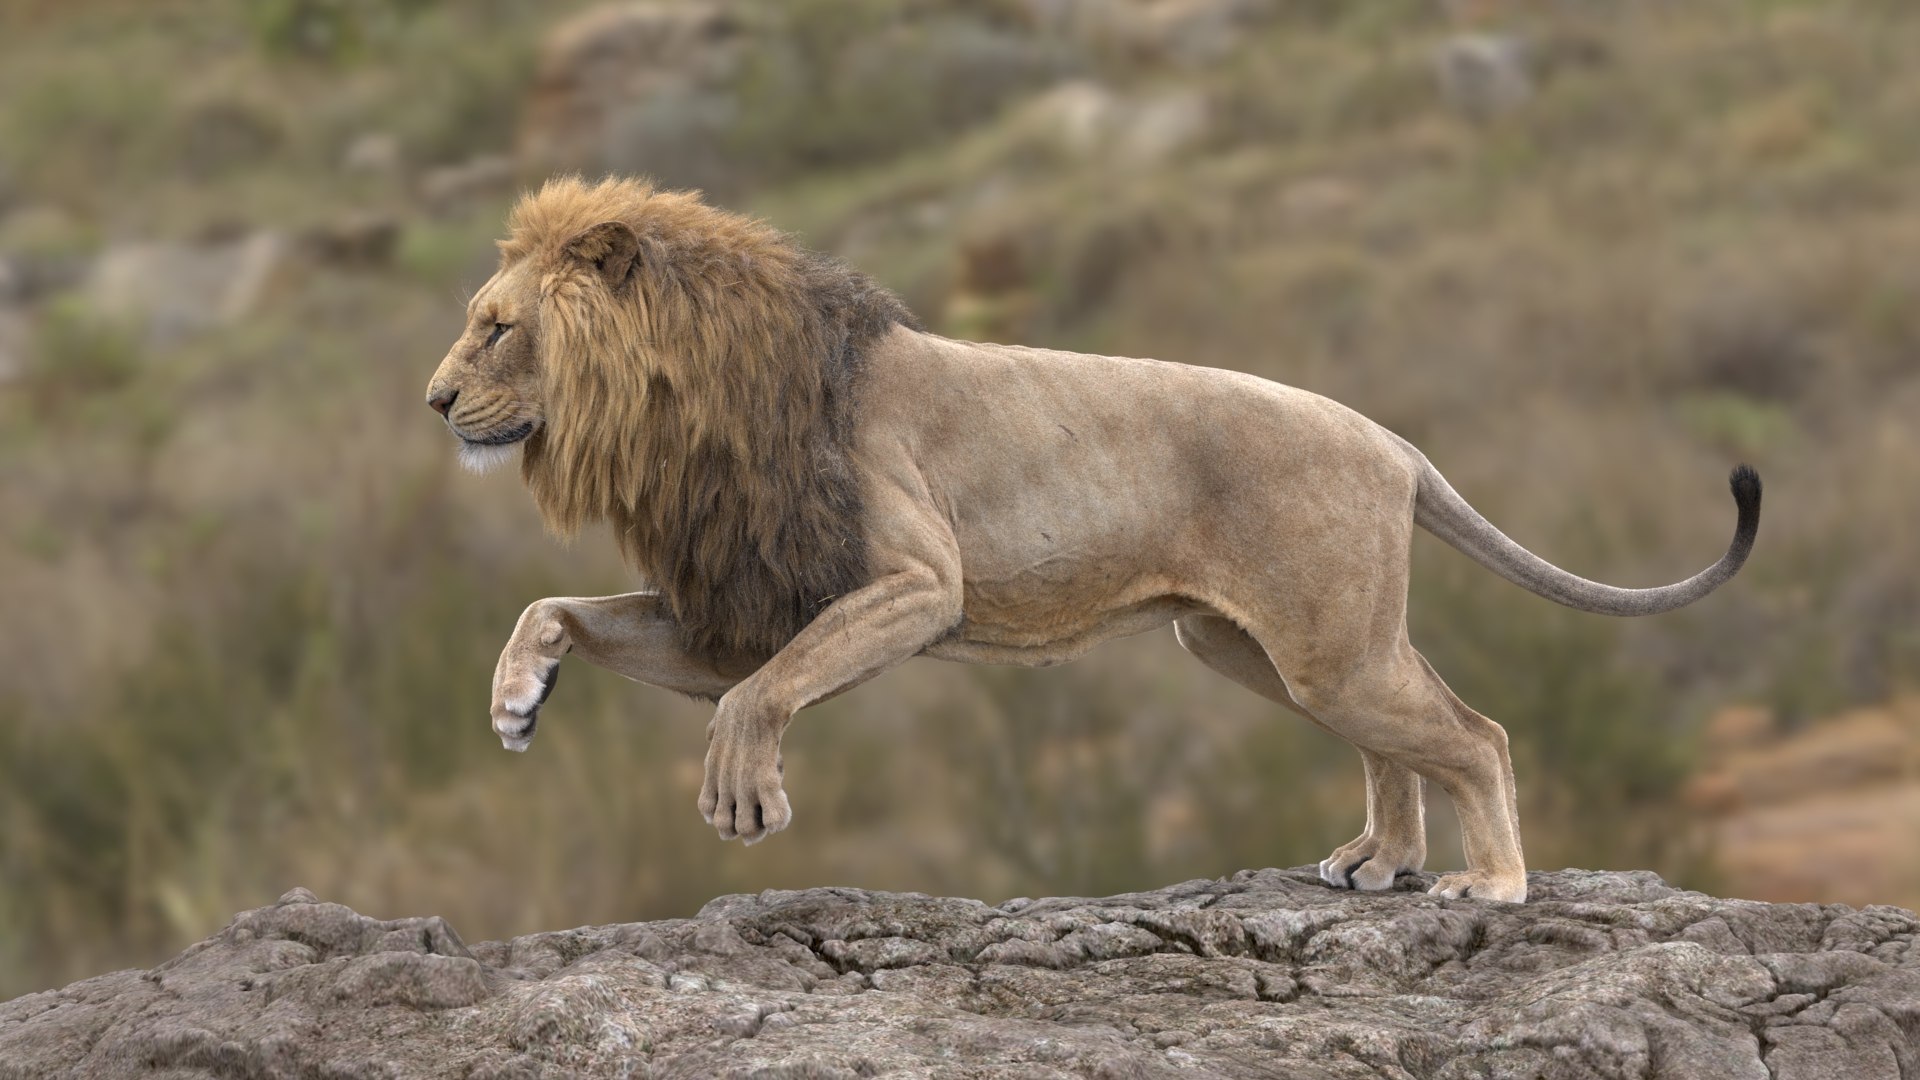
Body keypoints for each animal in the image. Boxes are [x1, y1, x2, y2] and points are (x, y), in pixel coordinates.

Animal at [426, 176, 1760, 903]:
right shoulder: (740, 601)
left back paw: (1492, 881)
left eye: (495, 329)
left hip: (1324, 647)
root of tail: (1389, 437)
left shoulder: (915, 582)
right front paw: (516, 698)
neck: (685, 408)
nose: (433, 403)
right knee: (1401, 735)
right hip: (1271, 647)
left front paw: (740, 796)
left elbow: (758, 696)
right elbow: (560, 611)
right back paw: (1380, 863)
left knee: (1474, 734)